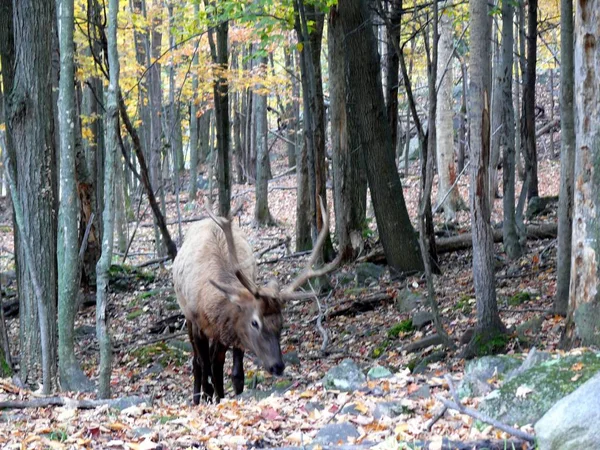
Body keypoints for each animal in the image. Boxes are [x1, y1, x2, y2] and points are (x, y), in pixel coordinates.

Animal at [172, 199, 338, 402]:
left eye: (281, 322)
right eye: (255, 322)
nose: (277, 366)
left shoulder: (229, 328)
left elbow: (230, 372)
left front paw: (225, 397)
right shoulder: (197, 322)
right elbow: (205, 368)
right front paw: (209, 398)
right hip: (188, 318)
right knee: (198, 363)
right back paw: (198, 398)